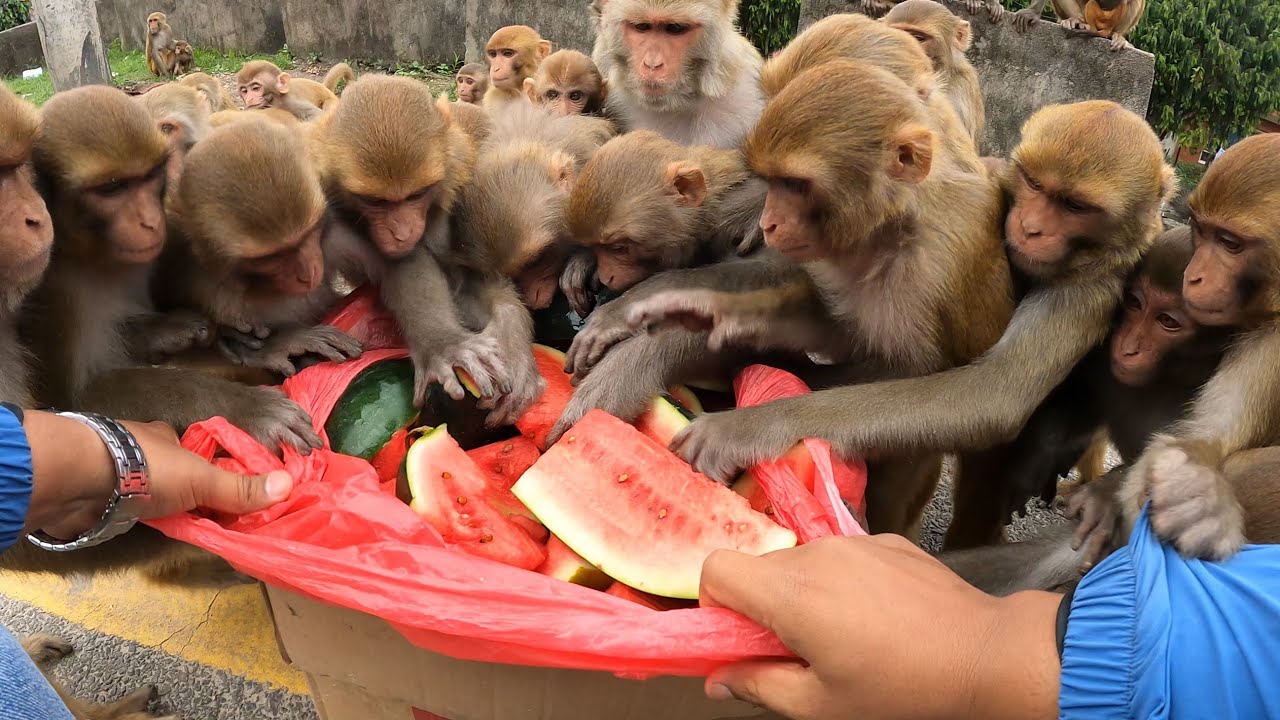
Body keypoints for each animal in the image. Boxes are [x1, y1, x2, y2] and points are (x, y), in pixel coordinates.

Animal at [21, 85, 324, 456]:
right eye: (111, 188)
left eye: (149, 177)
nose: (151, 221)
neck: (93, 258)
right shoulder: (54, 291)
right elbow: (76, 398)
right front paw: (247, 406)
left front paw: (258, 345)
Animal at [155, 120, 363, 378]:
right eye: (272, 258)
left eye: (308, 235)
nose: (308, 274)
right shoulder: (172, 243)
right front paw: (272, 345)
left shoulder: (334, 233)